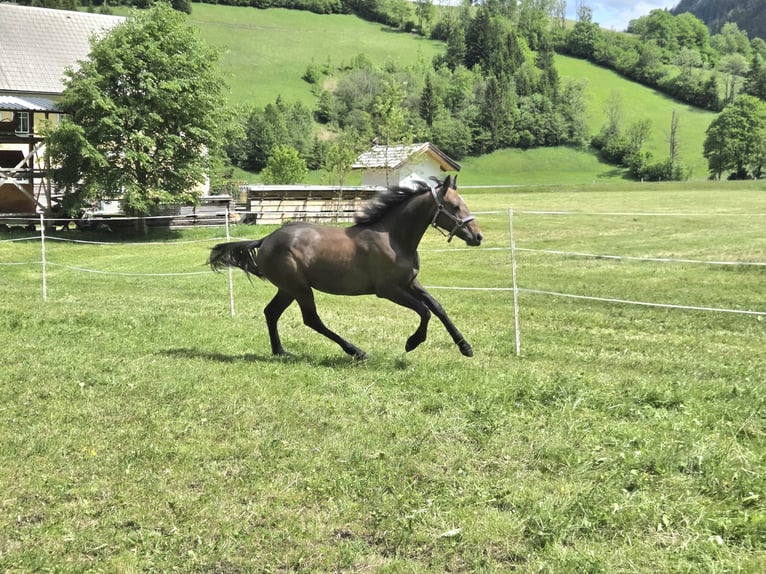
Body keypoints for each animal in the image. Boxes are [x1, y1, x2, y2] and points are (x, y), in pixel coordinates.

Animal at [208, 175, 483, 360]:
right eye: (455, 206)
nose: (477, 237)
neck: (393, 238)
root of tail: (266, 240)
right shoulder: (389, 290)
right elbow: (424, 311)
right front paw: (412, 342)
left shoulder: (410, 282)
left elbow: (437, 307)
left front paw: (466, 347)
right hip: (300, 288)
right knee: (311, 320)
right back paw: (357, 351)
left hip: (288, 289)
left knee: (271, 313)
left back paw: (281, 352)